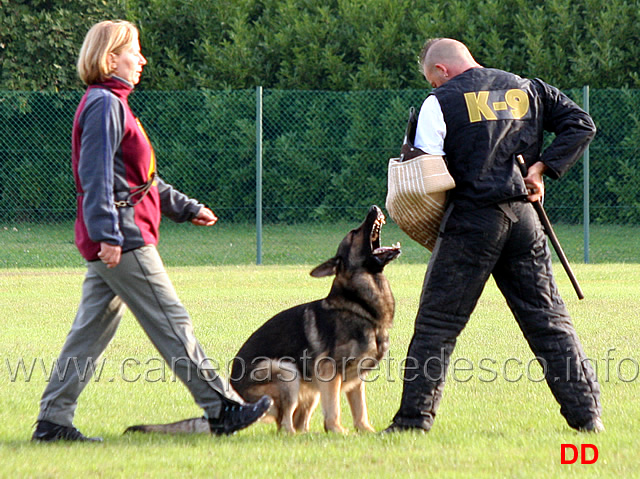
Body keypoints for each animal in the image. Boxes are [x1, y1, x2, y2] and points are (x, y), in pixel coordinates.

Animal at [122, 204, 398, 436]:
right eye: (354, 232)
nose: (375, 207)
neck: (360, 306)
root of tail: (235, 400)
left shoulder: (355, 381)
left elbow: (360, 411)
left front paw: (367, 432)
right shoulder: (329, 372)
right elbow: (334, 412)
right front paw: (338, 432)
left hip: (308, 390)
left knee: (297, 423)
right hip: (287, 372)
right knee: (285, 426)